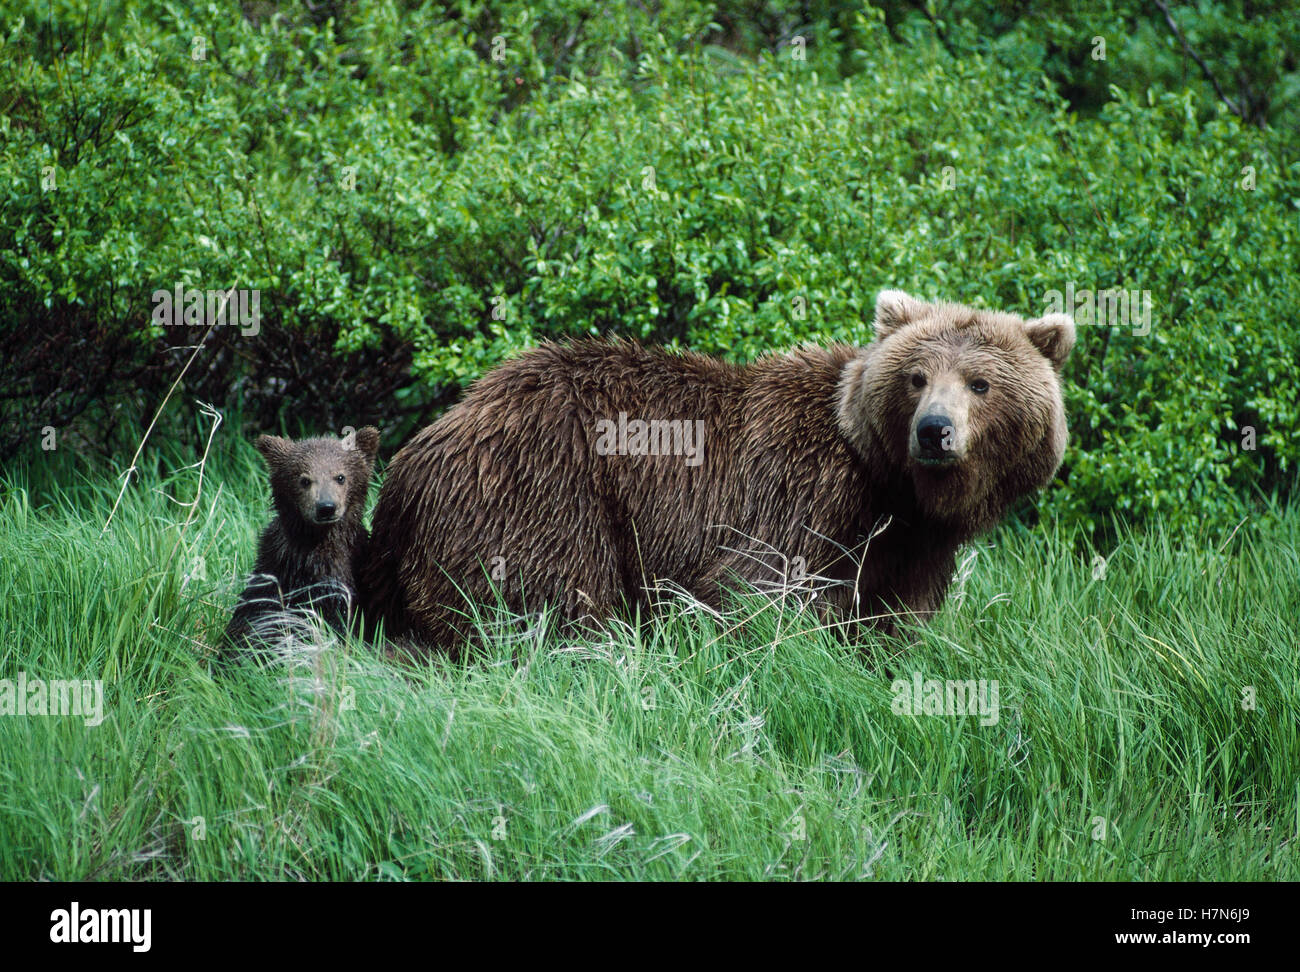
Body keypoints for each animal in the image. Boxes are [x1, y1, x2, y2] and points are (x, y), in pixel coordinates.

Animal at [358, 291, 1073, 656]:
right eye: (917, 376)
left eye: (980, 382)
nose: (934, 431)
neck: (891, 488)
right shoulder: (801, 495)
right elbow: (753, 590)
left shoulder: (910, 549)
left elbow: (891, 619)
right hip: (538, 491)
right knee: (552, 601)